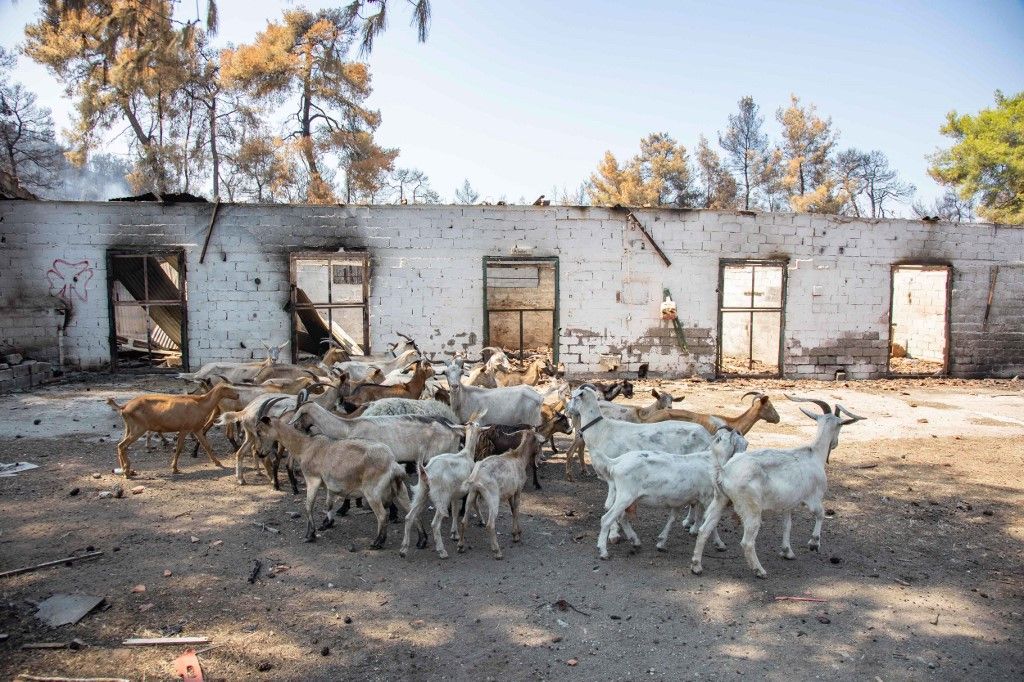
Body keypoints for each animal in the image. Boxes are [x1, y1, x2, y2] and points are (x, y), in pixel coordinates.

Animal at [107, 382, 239, 477]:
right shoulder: (185, 429)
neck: (200, 404)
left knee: (121, 446)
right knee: (122, 446)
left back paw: (125, 470)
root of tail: (124, 407)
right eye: (228, 388)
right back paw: (126, 471)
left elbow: (206, 445)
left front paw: (217, 462)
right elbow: (179, 448)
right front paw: (175, 468)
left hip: (129, 427)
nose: (237, 395)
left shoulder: (196, 429)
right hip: (138, 428)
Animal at [598, 425, 749, 557]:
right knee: (606, 519)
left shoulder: (679, 500)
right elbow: (710, 523)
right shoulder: (707, 497)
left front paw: (661, 542)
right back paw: (603, 551)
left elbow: (672, 519)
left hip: (628, 498)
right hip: (625, 496)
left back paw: (635, 541)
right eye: (743, 443)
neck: (712, 461)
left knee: (622, 518)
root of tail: (616, 462)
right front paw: (720, 544)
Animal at [688, 395, 864, 577]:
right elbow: (820, 514)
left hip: (720, 499)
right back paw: (759, 570)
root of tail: (725, 470)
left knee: (704, 530)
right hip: (751, 508)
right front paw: (814, 543)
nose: (835, 443)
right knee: (747, 542)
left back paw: (696, 566)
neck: (814, 454)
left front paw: (787, 551)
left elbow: (787, 525)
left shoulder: (788, 503)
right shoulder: (813, 497)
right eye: (840, 426)